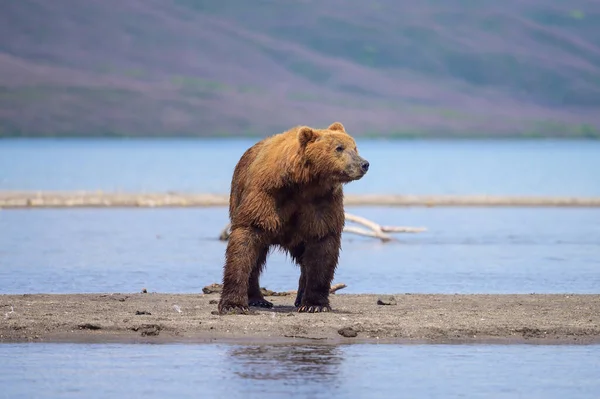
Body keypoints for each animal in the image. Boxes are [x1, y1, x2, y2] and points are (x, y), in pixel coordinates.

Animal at [218, 122, 368, 316]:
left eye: (355, 147)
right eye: (339, 148)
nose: (364, 164)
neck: (304, 183)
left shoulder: (323, 203)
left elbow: (322, 246)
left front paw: (314, 304)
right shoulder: (266, 196)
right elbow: (246, 240)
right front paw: (233, 304)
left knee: (304, 259)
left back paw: (299, 298)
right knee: (258, 257)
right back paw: (258, 299)